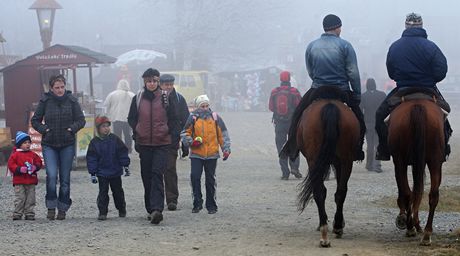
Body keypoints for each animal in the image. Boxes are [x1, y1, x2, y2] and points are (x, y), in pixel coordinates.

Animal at [296, 98, 362, 248]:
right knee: (340, 192)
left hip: (317, 160)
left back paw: (326, 231)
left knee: (320, 192)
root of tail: (330, 105)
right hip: (345, 160)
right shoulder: (337, 163)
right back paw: (334, 228)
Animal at [388, 98, 446, 246]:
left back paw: (411, 228)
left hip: (401, 160)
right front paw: (416, 224)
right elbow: (417, 190)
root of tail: (417, 106)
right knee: (432, 195)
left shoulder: (400, 162)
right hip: (435, 160)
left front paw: (410, 223)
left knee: (409, 192)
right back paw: (426, 233)